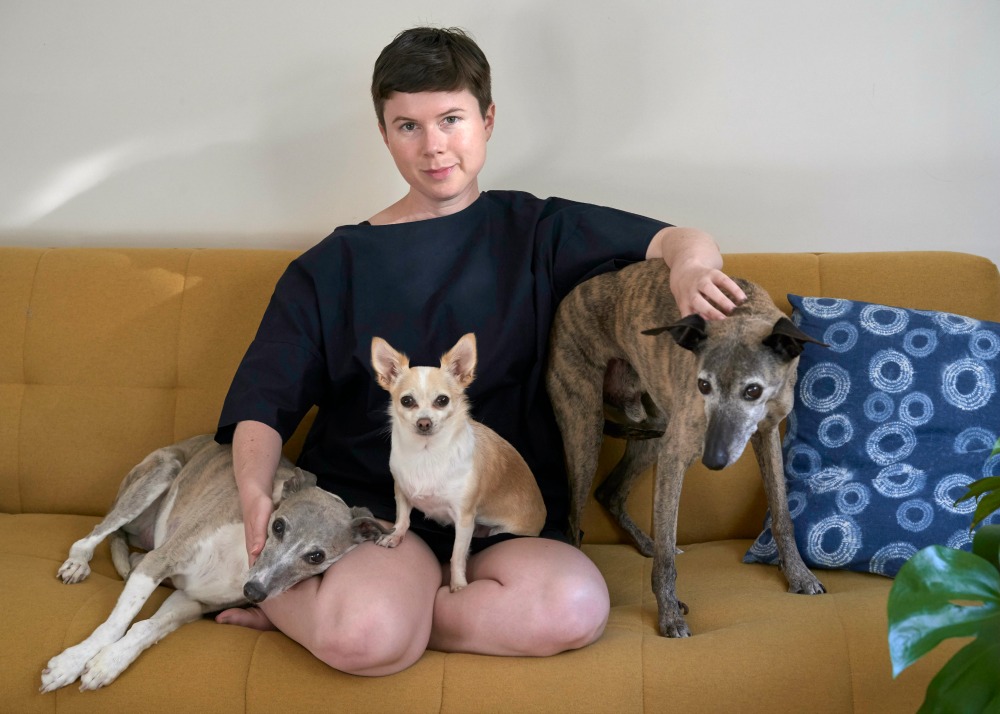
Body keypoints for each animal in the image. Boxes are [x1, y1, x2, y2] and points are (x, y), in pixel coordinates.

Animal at [39, 434, 384, 688]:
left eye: (316, 556)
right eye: (278, 526)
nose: (253, 592)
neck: (239, 559)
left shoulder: (192, 600)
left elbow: (145, 628)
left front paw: (107, 663)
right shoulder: (161, 561)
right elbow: (115, 624)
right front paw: (71, 662)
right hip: (161, 472)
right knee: (94, 535)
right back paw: (78, 563)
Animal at [374, 334, 548, 588]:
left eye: (442, 400)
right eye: (407, 401)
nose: (424, 422)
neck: (427, 454)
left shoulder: (464, 519)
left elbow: (456, 554)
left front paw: (457, 585)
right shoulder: (402, 491)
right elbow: (403, 519)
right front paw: (395, 535)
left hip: (500, 531)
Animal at [548, 258, 828, 636]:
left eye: (753, 390)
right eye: (703, 385)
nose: (713, 460)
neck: (742, 313)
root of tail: (571, 296)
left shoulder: (766, 434)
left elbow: (782, 513)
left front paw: (799, 575)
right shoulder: (676, 455)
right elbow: (667, 552)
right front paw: (669, 614)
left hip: (655, 432)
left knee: (610, 492)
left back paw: (645, 542)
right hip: (586, 432)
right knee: (574, 521)